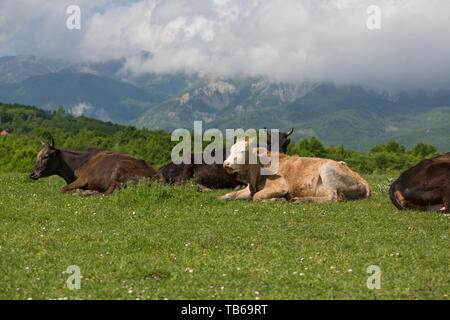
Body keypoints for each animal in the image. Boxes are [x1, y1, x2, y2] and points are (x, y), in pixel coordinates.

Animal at [29, 138, 162, 195]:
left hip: (118, 172)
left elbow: (63, 188)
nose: (31, 173)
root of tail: (159, 177)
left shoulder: (84, 179)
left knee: (109, 192)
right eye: (37, 155)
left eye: (46, 156)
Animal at [217, 136, 370, 201]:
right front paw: (220, 197)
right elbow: (227, 195)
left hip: (327, 171)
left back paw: (300, 200)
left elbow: (256, 196)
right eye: (231, 150)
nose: (226, 163)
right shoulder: (248, 188)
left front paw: (278, 199)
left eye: (243, 151)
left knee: (331, 197)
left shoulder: (280, 186)